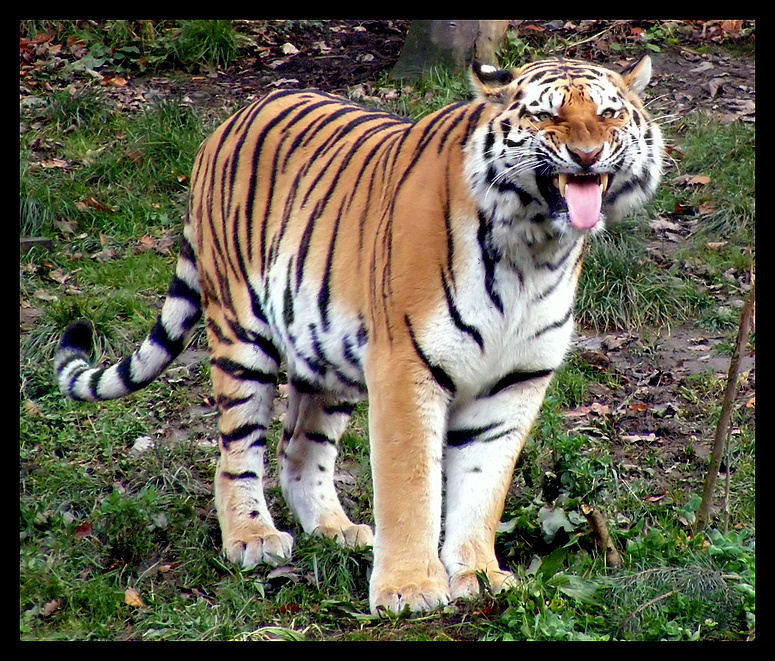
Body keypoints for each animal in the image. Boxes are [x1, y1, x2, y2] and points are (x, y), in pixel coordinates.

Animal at [54, 55, 664, 612]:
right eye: (546, 114)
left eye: (608, 114)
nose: (586, 155)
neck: (534, 249)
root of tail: (227, 123)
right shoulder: (406, 366)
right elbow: (410, 486)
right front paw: (410, 589)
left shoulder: (515, 381)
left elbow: (482, 487)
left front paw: (479, 576)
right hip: (242, 335)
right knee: (235, 451)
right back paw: (253, 538)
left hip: (325, 350)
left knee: (299, 450)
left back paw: (336, 530)